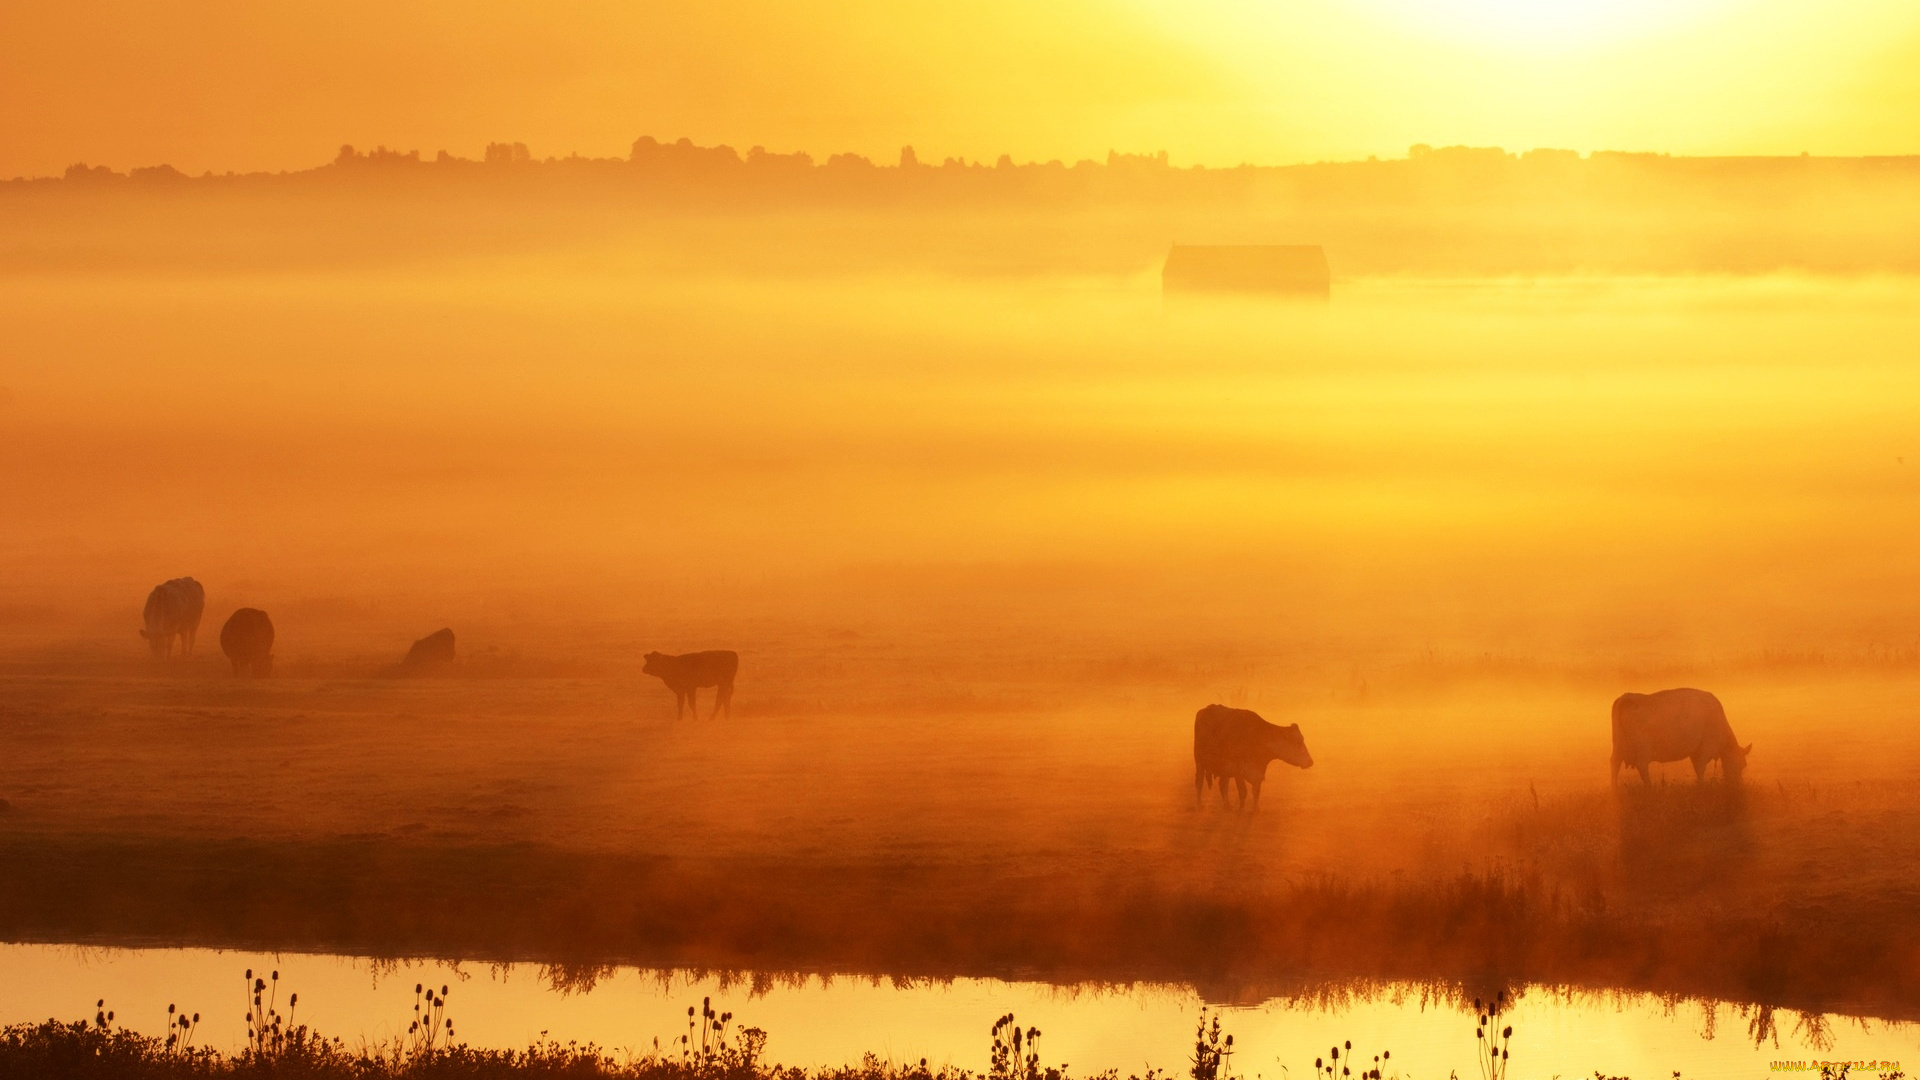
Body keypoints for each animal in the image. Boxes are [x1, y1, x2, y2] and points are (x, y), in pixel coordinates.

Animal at [1605, 687, 1758, 780]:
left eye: (1744, 765)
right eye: (1740, 764)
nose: (1736, 784)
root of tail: (1627, 697)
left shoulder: (1695, 750)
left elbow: (1697, 768)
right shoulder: (1704, 748)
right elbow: (1701, 769)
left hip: (1618, 744)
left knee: (1614, 763)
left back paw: (1615, 789)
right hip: (1643, 747)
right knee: (1642, 765)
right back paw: (1649, 788)